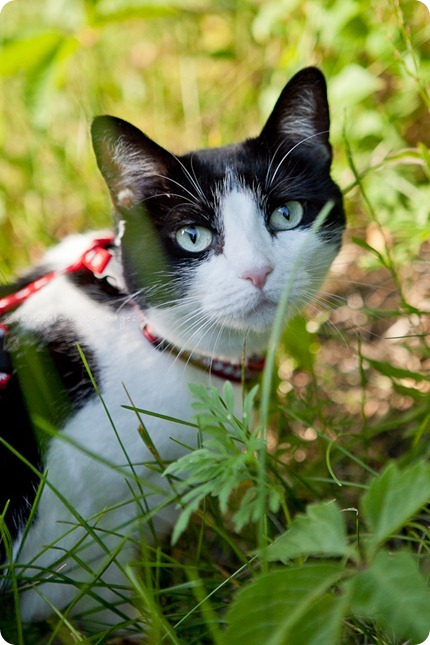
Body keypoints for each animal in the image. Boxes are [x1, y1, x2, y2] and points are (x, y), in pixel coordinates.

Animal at [0, 68, 344, 628]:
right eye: (192, 237)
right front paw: (150, 625)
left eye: (287, 214)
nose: (258, 272)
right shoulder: (74, 552)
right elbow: (106, 601)